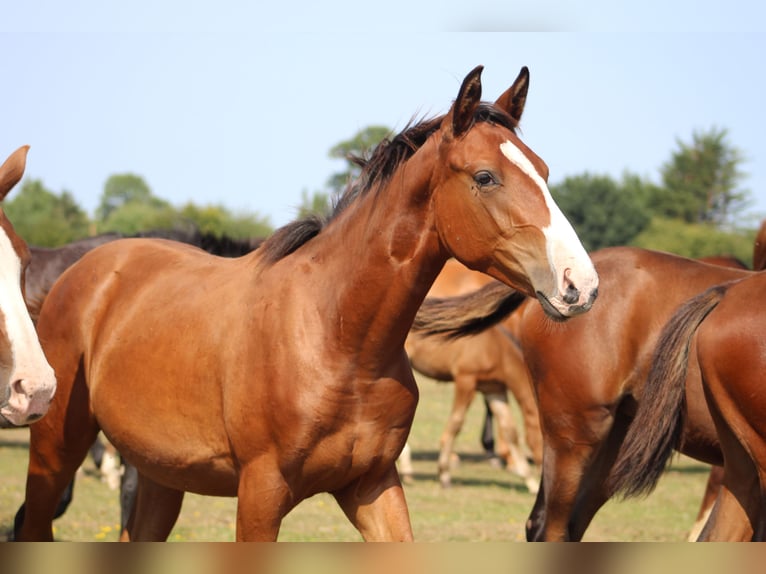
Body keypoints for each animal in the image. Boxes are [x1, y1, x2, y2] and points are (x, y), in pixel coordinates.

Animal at [15, 65, 599, 542]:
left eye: (544, 171)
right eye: (484, 176)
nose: (581, 285)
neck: (335, 336)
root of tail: (85, 271)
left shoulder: (372, 485)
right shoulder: (261, 493)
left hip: (160, 475)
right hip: (55, 448)